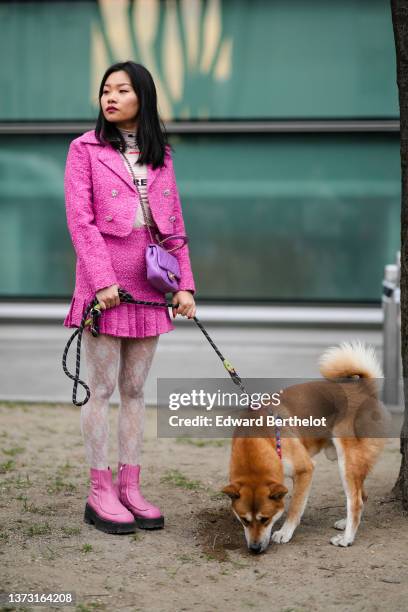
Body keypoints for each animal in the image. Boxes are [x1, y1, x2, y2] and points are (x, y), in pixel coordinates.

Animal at [223, 342, 386, 552]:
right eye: (244, 520)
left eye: (265, 519)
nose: (255, 548)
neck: (259, 440)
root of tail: (366, 390)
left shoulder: (305, 470)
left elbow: (295, 506)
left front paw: (285, 532)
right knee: (362, 495)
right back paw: (344, 523)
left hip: (347, 461)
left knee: (355, 501)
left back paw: (346, 539)